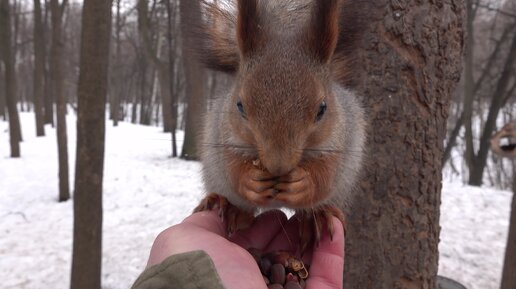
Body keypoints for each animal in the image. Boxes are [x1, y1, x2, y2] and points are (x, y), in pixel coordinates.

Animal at [194, 0, 366, 249]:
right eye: (240, 105)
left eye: (322, 108)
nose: (278, 165)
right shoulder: (223, 134)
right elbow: (232, 167)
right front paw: (250, 180)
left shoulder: (340, 139)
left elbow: (326, 173)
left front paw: (304, 183)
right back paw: (228, 206)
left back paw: (317, 217)